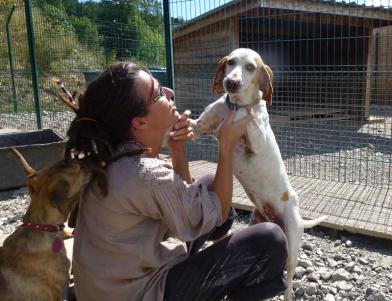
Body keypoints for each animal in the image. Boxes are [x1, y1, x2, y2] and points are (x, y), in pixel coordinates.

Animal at [191, 48, 326, 298]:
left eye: (251, 67)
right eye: (230, 62)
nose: (231, 82)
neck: (233, 106)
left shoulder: (258, 137)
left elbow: (250, 113)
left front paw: (248, 108)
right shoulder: (197, 127)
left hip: (292, 249)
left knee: (289, 281)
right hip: (256, 222)